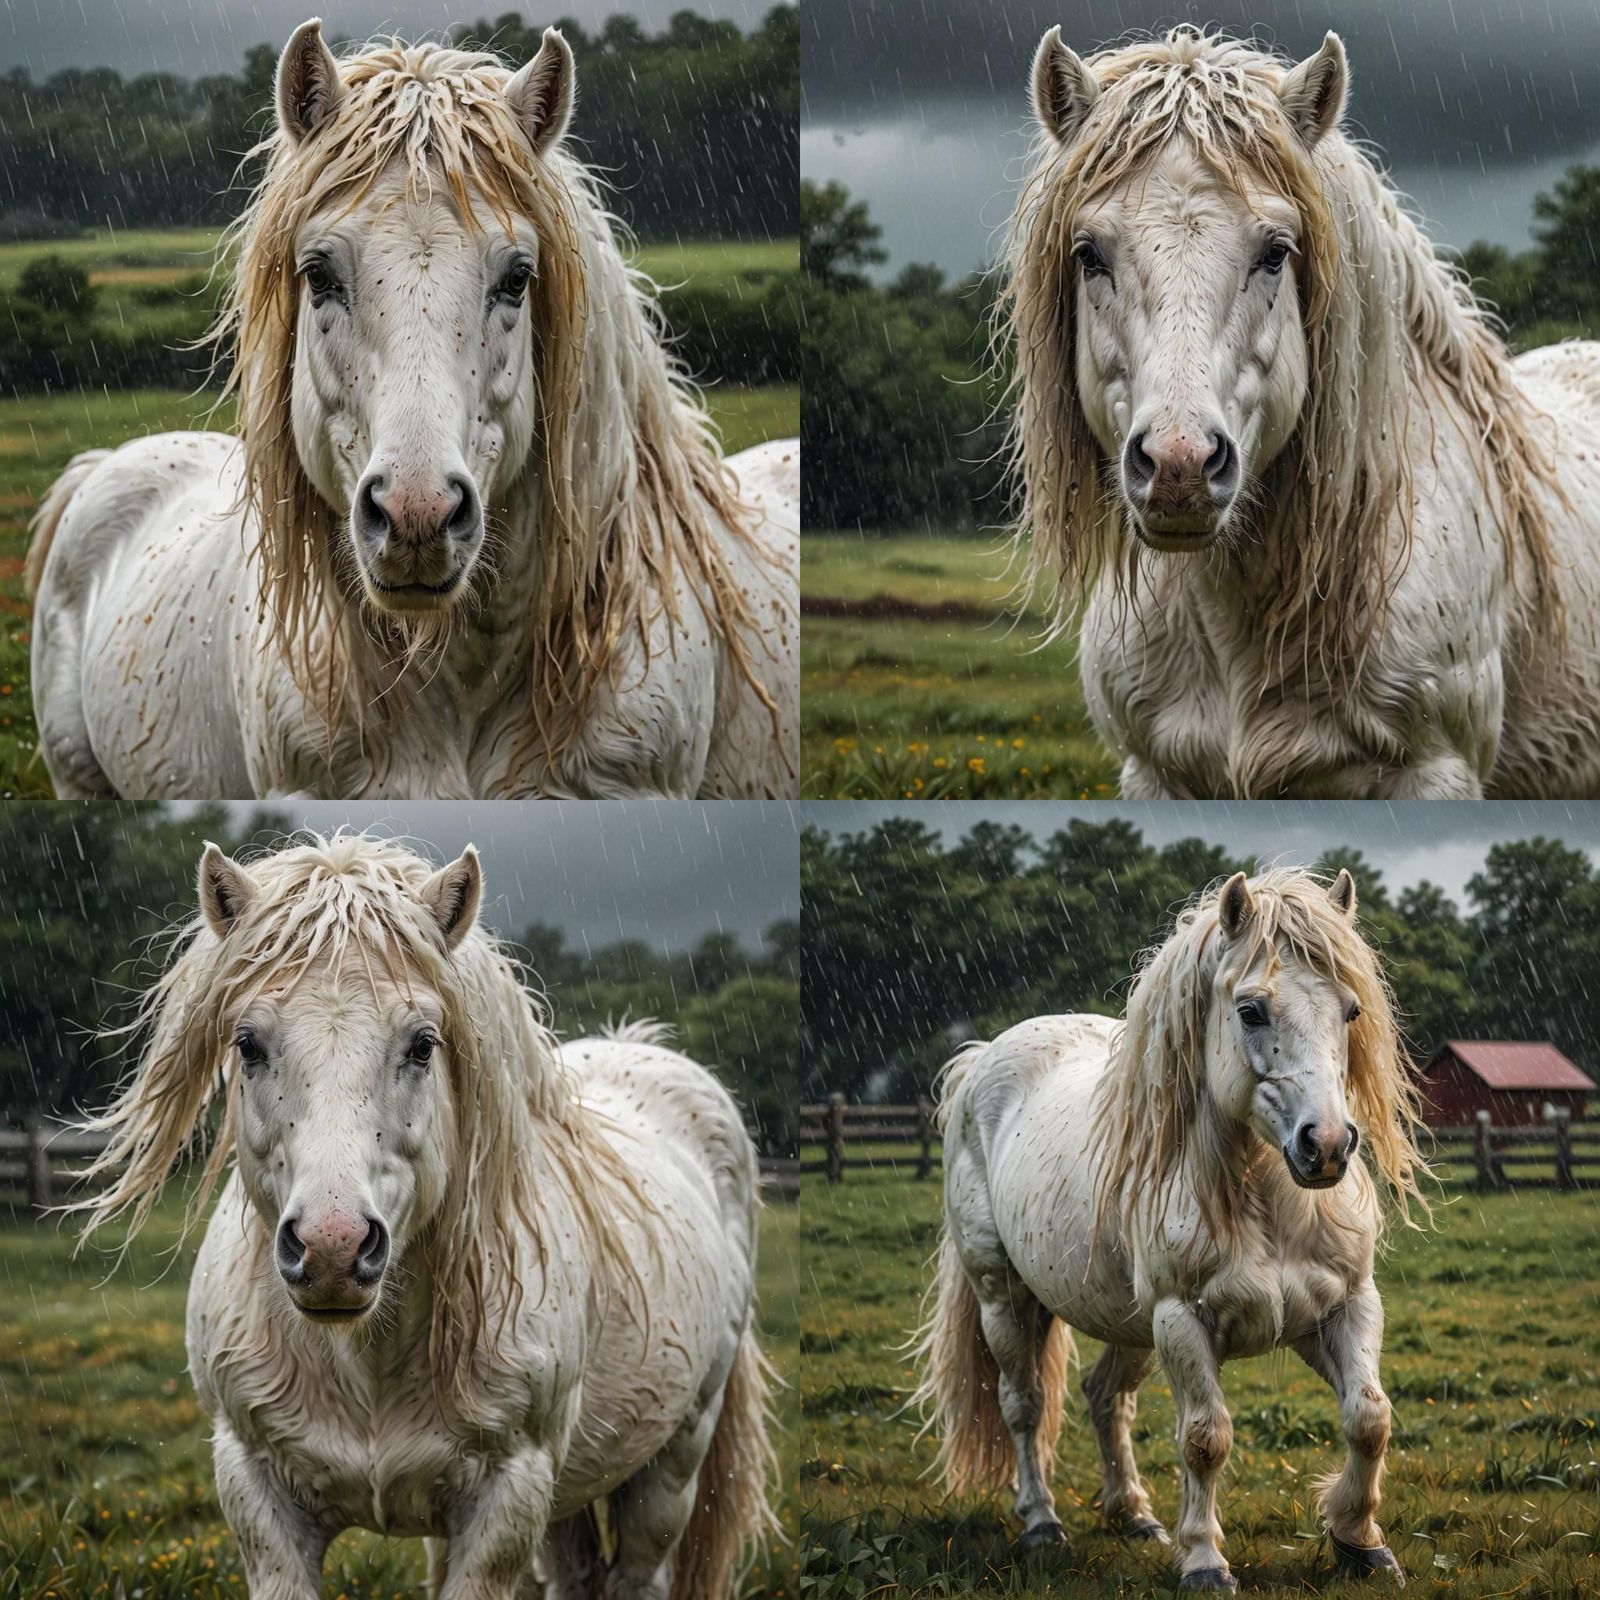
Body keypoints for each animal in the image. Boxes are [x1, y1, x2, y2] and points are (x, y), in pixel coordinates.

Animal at [72, 833, 775, 1600]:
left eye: (421, 1045)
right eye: (248, 1044)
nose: (332, 1250)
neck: (368, 1361)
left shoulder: (506, 1501)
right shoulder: (258, 1493)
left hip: (671, 1465)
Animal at [914, 867, 1428, 1590]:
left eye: (1350, 1012)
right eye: (1251, 1010)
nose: (1326, 1146)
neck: (1267, 1204)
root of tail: (985, 1058)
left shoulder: (1342, 1308)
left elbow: (1369, 1418)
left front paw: (1360, 1543)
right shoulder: (1183, 1319)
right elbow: (1205, 1439)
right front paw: (1205, 1562)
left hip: (1128, 1322)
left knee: (1106, 1398)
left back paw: (1133, 1515)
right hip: (1007, 1300)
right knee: (1024, 1404)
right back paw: (1042, 1524)